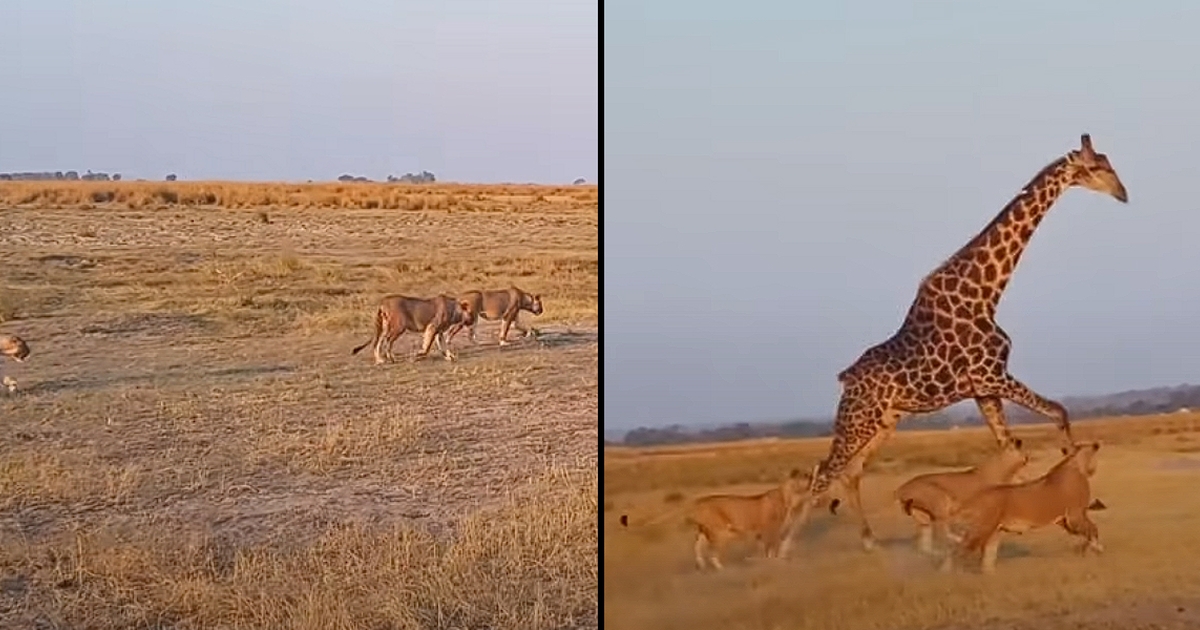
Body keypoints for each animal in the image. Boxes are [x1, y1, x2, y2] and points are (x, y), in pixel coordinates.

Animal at [619, 468, 815, 571]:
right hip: (720, 532)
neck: (790, 495)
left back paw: (701, 566)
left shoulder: (762, 532)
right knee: (713, 552)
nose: (813, 478)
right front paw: (773, 561)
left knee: (697, 547)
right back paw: (721, 568)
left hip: (704, 531)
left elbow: (764, 547)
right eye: (804, 476)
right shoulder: (770, 529)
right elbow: (772, 547)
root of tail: (697, 501)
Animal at [894, 438, 1030, 556]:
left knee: (925, 544)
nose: (1027, 458)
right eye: (1020, 450)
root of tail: (901, 489)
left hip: (923, 518)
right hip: (941, 506)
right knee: (942, 533)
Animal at [941, 441, 1104, 574]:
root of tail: (975, 498)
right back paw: (955, 575)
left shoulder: (1065, 520)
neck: (1076, 464)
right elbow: (1093, 529)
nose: (1094, 470)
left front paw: (1087, 551)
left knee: (986, 560)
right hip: (981, 530)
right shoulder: (1075, 516)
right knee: (960, 551)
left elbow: (1090, 532)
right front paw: (1096, 550)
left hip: (994, 532)